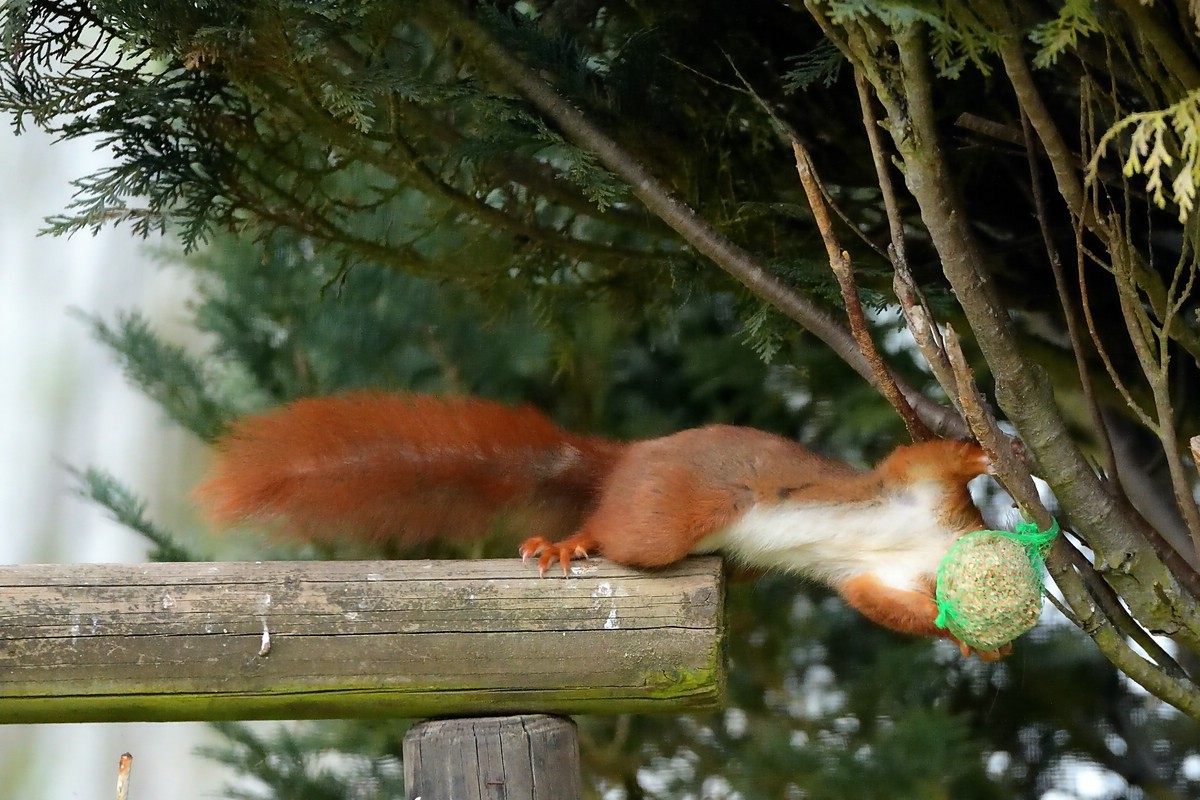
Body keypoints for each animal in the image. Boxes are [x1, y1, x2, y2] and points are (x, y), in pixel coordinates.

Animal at [196, 391, 1000, 657]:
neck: (931, 546)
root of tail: (627, 458)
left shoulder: (880, 576)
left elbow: (884, 605)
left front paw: (966, 639)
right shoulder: (910, 485)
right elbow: (935, 456)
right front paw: (989, 446)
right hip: (662, 519)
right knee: (613, 532)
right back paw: (568, 542)